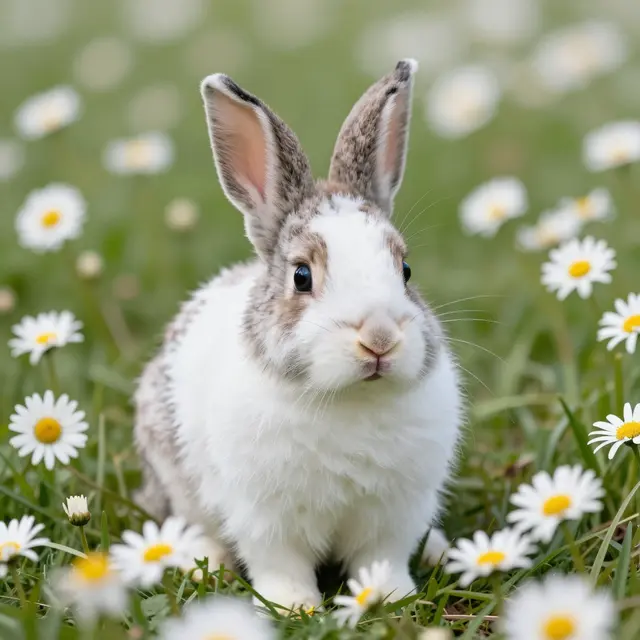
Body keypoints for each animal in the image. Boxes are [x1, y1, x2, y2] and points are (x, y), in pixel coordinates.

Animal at [133, 58, 463, 611]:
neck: (349, 399)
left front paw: (389, 597)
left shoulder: (393, 514)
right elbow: (280, 564)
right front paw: (294, 606)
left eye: (406, 271)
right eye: (302, 276)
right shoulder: (266, 518)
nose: (379, 338)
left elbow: (382, 558)